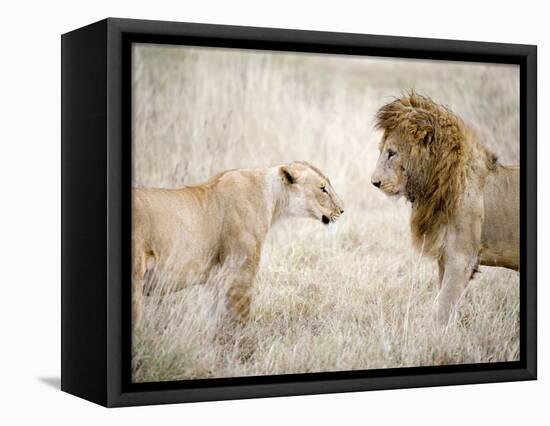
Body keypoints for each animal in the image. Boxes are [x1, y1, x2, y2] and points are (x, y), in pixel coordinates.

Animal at [133, 161, 344, 328]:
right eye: (323, 188)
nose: (342, 210)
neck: (273, 199)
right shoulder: (240, 276)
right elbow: (239, 325)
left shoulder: (216, 281)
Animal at [374, 94, 520, 322]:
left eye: (391, 153)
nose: (374, 182)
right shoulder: (445, 257)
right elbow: (444, 302)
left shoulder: (461, 259)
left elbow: (442, 309)